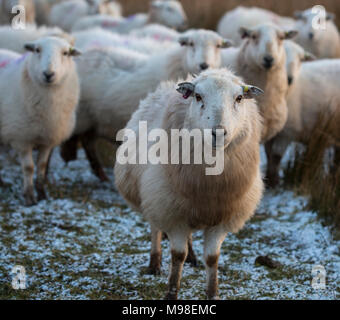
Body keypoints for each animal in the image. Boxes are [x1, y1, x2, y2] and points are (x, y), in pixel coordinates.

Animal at [0, 35, 80, 205]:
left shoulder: (48, 139)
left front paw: (42, 194)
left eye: (65, 53)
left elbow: (42, 167)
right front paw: (29, 197)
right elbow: (29, 168)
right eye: (37, 50)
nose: (48, 74)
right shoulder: (22, 138)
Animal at [59, 28, 232, 181]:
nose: (204, 65)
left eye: (218, 46)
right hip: (83, 115)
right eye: (190, 44)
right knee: (81, 142)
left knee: (87, 141)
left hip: (95, 120)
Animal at [113, 68, 264, 300]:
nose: (218, 132)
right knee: (155, 227)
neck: (210, 185)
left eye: (239, 98)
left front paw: (212, 294)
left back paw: (192, 257)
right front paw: (171, 293)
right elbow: (177, 255)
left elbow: (212, 258)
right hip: (156, 197)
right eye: (198, 96)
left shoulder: (220, 219)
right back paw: (154, 263)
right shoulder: (171, 213)